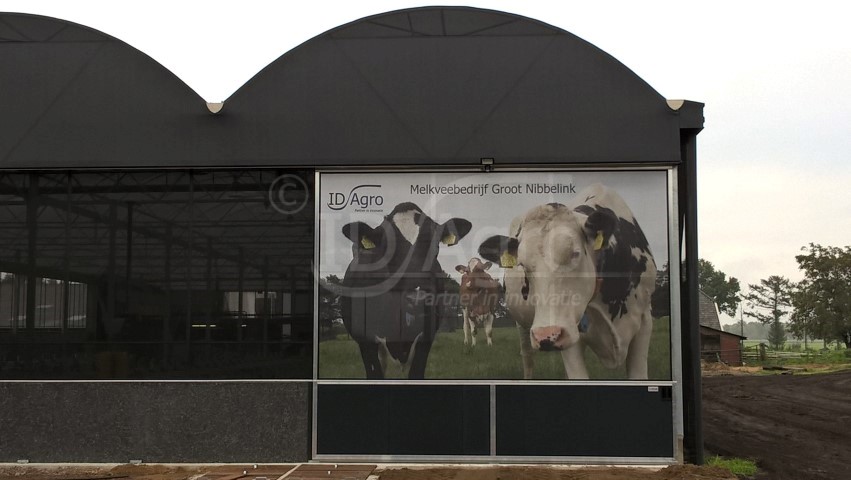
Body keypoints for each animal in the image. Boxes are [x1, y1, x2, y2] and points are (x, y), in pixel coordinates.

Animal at [478, 184, 657, 380]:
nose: (546, 335)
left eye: (575, 254)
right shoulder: (570, 331)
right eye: (522, 265)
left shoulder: (645, 319)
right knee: (527, 357)